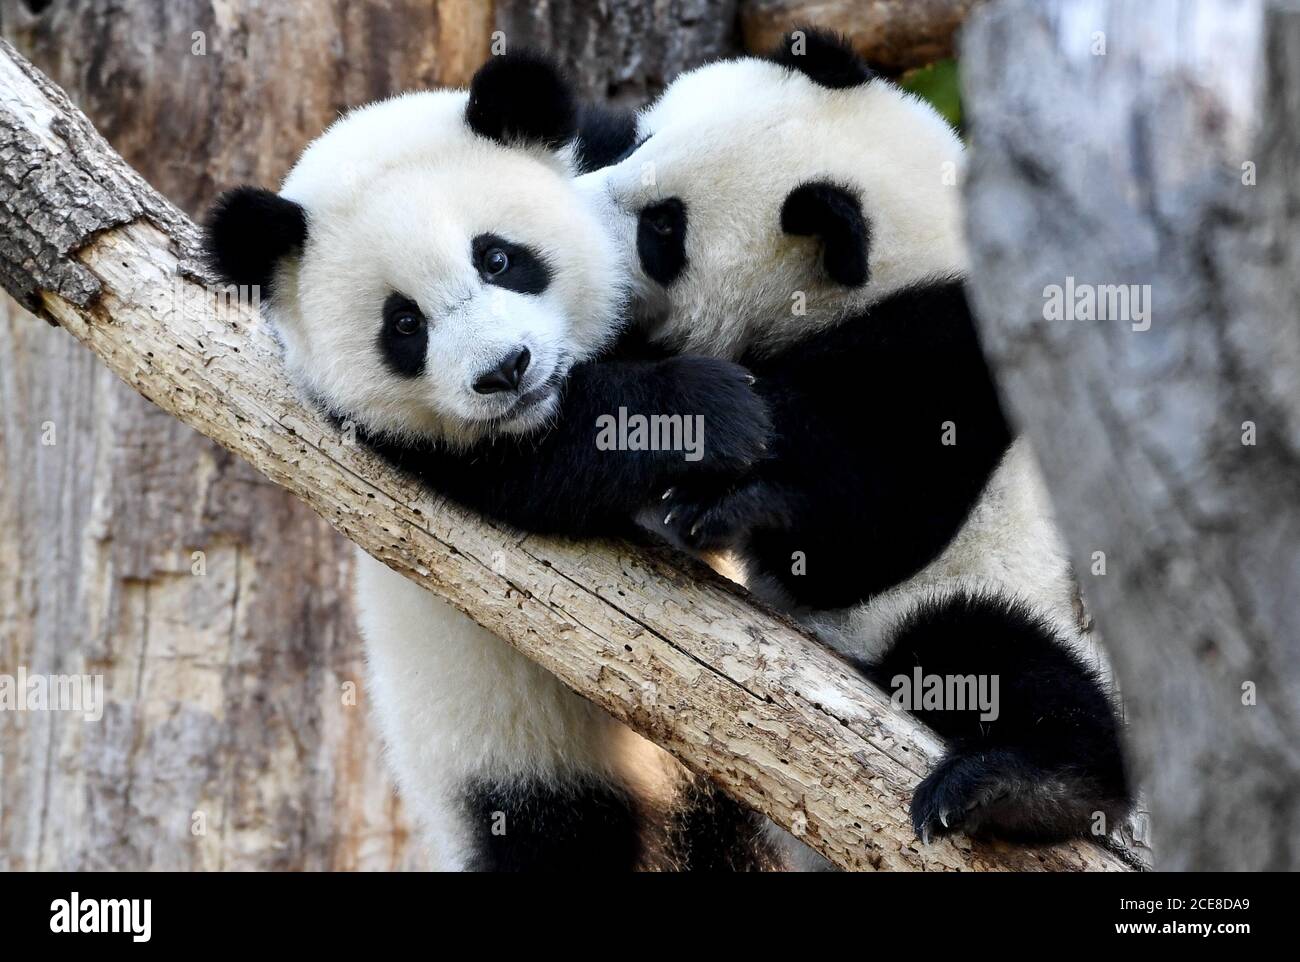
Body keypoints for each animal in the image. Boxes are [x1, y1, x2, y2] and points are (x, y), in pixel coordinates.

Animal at [202, 51, 779, 871]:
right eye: (403, 324)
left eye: (498, 258)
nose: (505, 370)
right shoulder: (393, 449)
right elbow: (539, 473)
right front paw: (709, 411)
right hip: (501, 749)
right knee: (556, 832)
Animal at [577, 29, 1133, 856]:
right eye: (642, 140)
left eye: (663, 230)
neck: (906, 255)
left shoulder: (946, 352)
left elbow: (872, 531)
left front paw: (736, 503)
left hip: (985, 597)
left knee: (993, 652)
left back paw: (1030, 786)